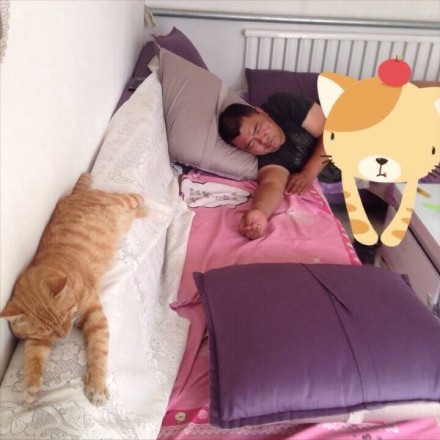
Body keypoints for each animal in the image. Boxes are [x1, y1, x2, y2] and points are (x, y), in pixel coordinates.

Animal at [0, 172, 147, 406]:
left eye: (66, 317)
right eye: (49, 330)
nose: (65, 335)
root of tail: (77, 194)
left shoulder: (96, 318)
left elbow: (98, 352)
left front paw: (97, 386)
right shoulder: (37, 340)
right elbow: (32, 359)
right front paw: (30, 388)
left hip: (122, 200)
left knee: (138, 198)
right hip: (125, 218)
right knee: (133, 213)